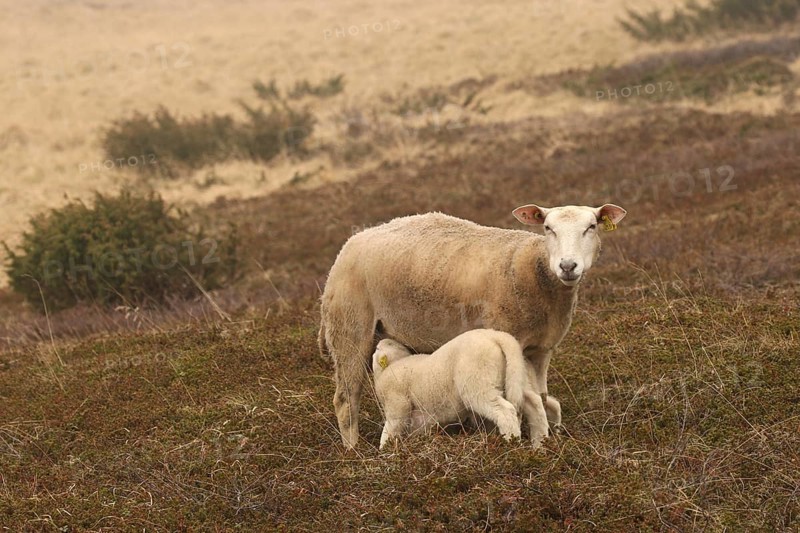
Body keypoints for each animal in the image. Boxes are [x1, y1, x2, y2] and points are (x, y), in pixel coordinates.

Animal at [371, 330, 549, 449]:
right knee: (534, 404)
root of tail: (497, 336)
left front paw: (385, 452)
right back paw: (540, 446)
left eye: (378, 350)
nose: (378, 342)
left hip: (478, 383)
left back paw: (511, 444)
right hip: (517, 375)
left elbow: (390, 430)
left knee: (505, 411)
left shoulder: (397, 403)